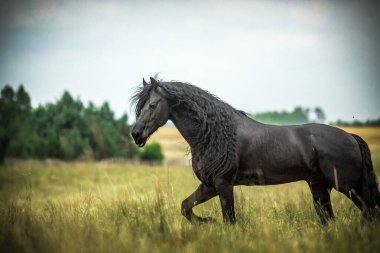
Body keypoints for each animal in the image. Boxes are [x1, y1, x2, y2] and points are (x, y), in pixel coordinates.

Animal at [131, 77, 380, 223]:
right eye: (139, 107)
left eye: (152, 105)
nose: (136, 134)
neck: (213, 134)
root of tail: (351, 137)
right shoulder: (209, 185)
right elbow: (185, 207)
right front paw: (208, 222)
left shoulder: (224, 184)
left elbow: (229, 220)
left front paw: (213, 223)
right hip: (320, 187)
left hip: (348, 186)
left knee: (369, 212)